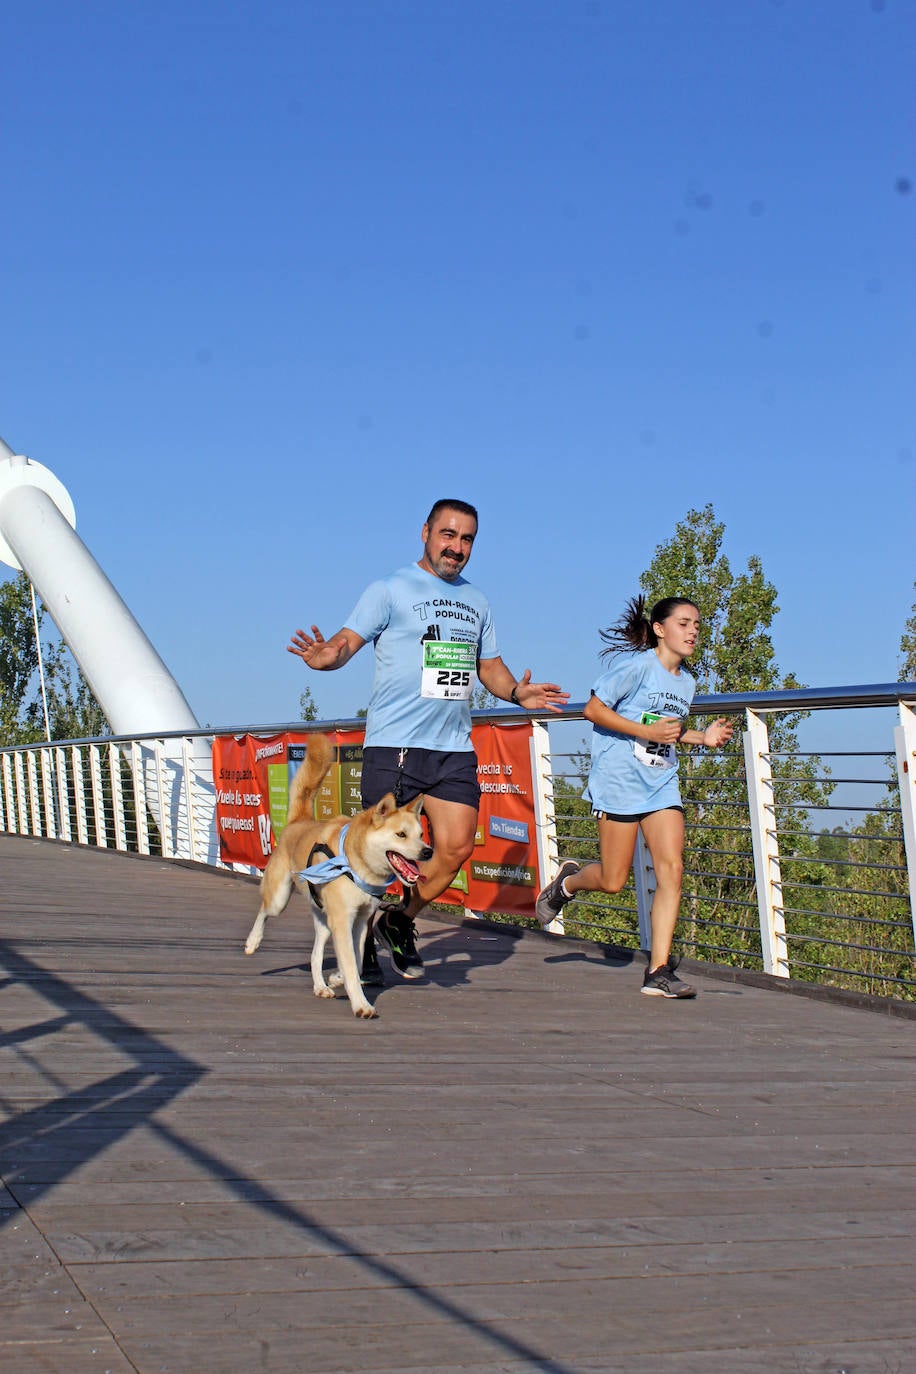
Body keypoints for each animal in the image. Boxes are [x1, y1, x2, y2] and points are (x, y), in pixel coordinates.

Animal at [241, 736, 431, 1016]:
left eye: (420, 834)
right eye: (401, 835)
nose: (428, 851)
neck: (357, 864)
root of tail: (299, 821)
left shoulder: (360, 921)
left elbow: (357, 961)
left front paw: (337, 977)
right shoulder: (343, 920)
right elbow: (352, 965)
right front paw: (361, 1003)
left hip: (324, 919)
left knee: (315, 954)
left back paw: (321, 985)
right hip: (280, 898)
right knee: (264, 910)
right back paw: (252, 942)